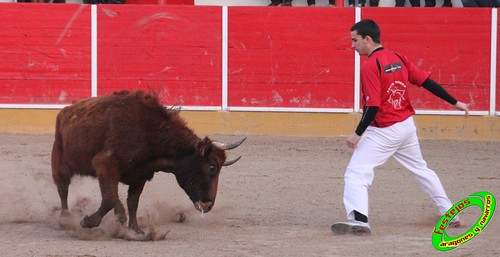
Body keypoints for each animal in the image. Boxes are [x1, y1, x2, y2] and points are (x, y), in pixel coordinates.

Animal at [50, 90, 244, 232]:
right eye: (212, 167)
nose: (208, 205)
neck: (150, 135)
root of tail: (65, 111)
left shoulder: (140, 175)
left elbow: (131, 202)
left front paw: (135, 230)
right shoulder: (104, 165)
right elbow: (109, 198)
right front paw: (88, 222)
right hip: (59, 163)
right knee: (63, 189)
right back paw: (65, 219)